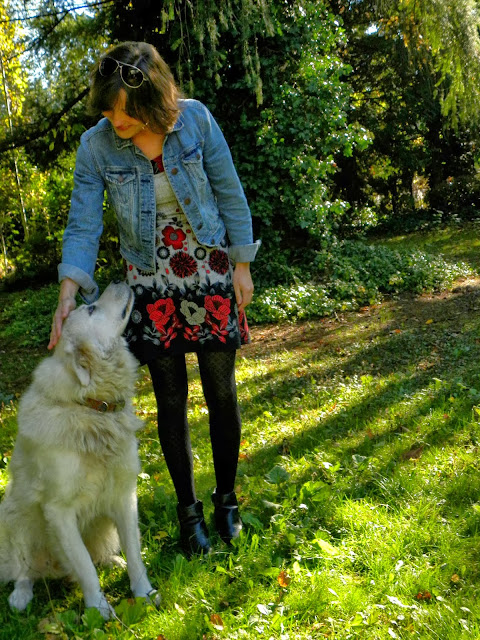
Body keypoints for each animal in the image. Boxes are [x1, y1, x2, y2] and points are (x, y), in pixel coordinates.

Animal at [0, 281, 158, 619]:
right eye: (91, 309)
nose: (118, 281)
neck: (91, 407)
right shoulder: (59, 510)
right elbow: (85, 566)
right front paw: (99, 610)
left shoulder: (124, 495)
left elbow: (134, 550)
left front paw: (144, 593)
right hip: (15, 517)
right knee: (22, 570)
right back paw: (21, 595)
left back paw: (114, 560)